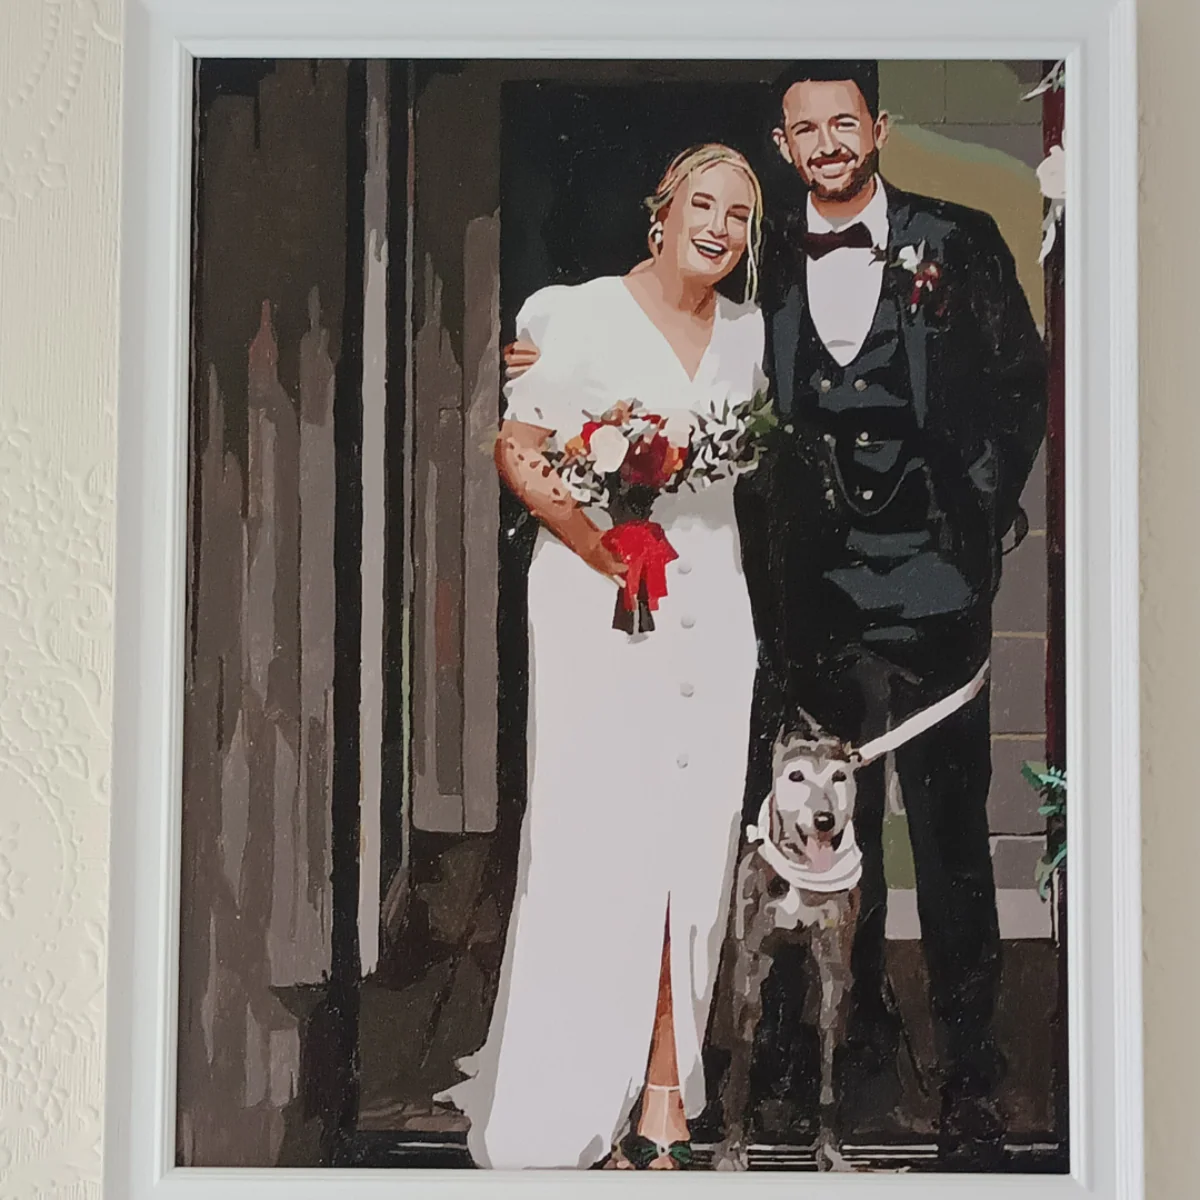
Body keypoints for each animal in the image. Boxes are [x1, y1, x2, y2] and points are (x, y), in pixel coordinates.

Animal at [712, 713, 862, 1173]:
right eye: (795, 776)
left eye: (840, 777)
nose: (824, 819)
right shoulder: (749, 961)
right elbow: (742, 1058)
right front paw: (733, 1146)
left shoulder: (832, 964)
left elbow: (828, 1054)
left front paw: (828, 1147)